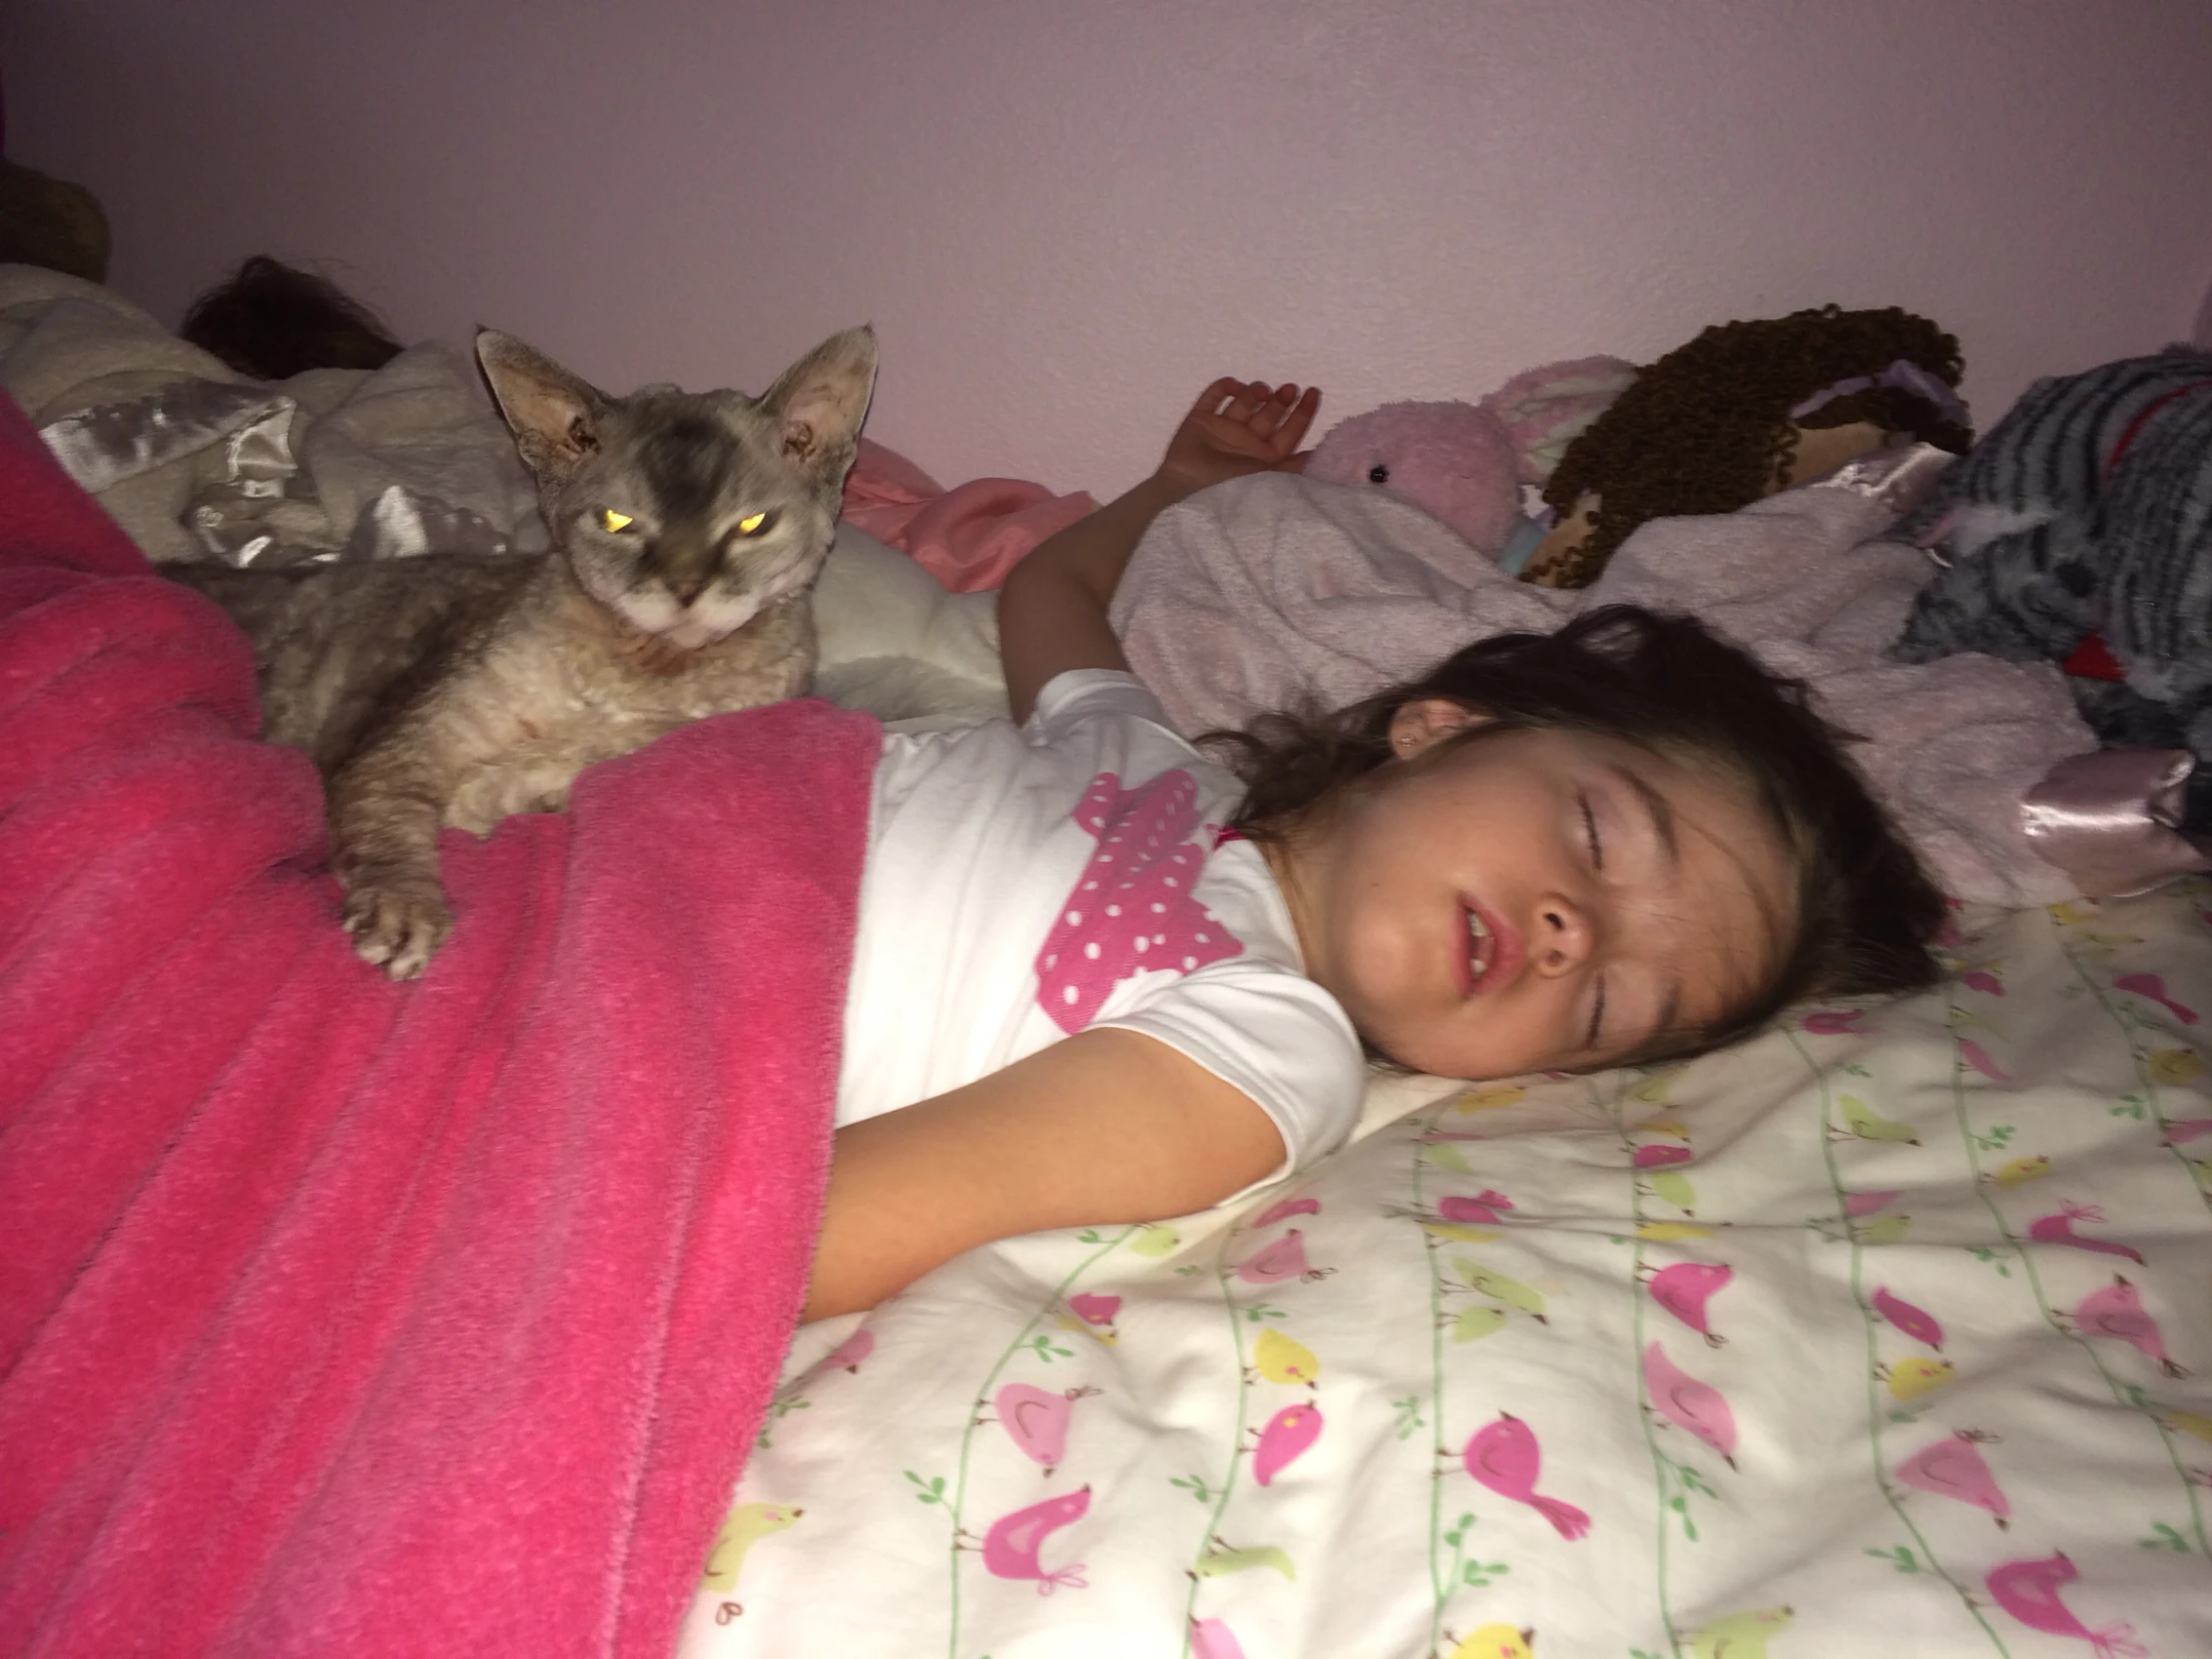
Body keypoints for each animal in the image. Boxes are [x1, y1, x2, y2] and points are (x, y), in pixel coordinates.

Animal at [175, 320, 879, 986]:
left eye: (753, 525)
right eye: (619, 522)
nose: (684, 589)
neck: (643, 669)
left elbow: (572, 764)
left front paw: (513, 793)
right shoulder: (401, 745)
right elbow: (386, 809)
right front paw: (405, 911)